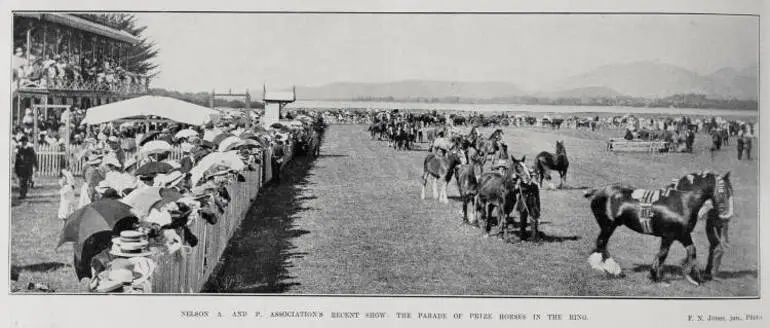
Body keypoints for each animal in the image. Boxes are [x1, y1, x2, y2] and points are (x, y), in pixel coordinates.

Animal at [584, 170, 732, 286]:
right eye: (725, 190)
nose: (724, 215)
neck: (681, 201)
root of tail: (597, 191)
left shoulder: (682, 235)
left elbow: (691, 250)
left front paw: (694, 277)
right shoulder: (669, 236)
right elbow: (663, 254)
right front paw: (655, 275)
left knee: (601, 246)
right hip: (608, 226)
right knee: (601, 244)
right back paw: (613, 270)